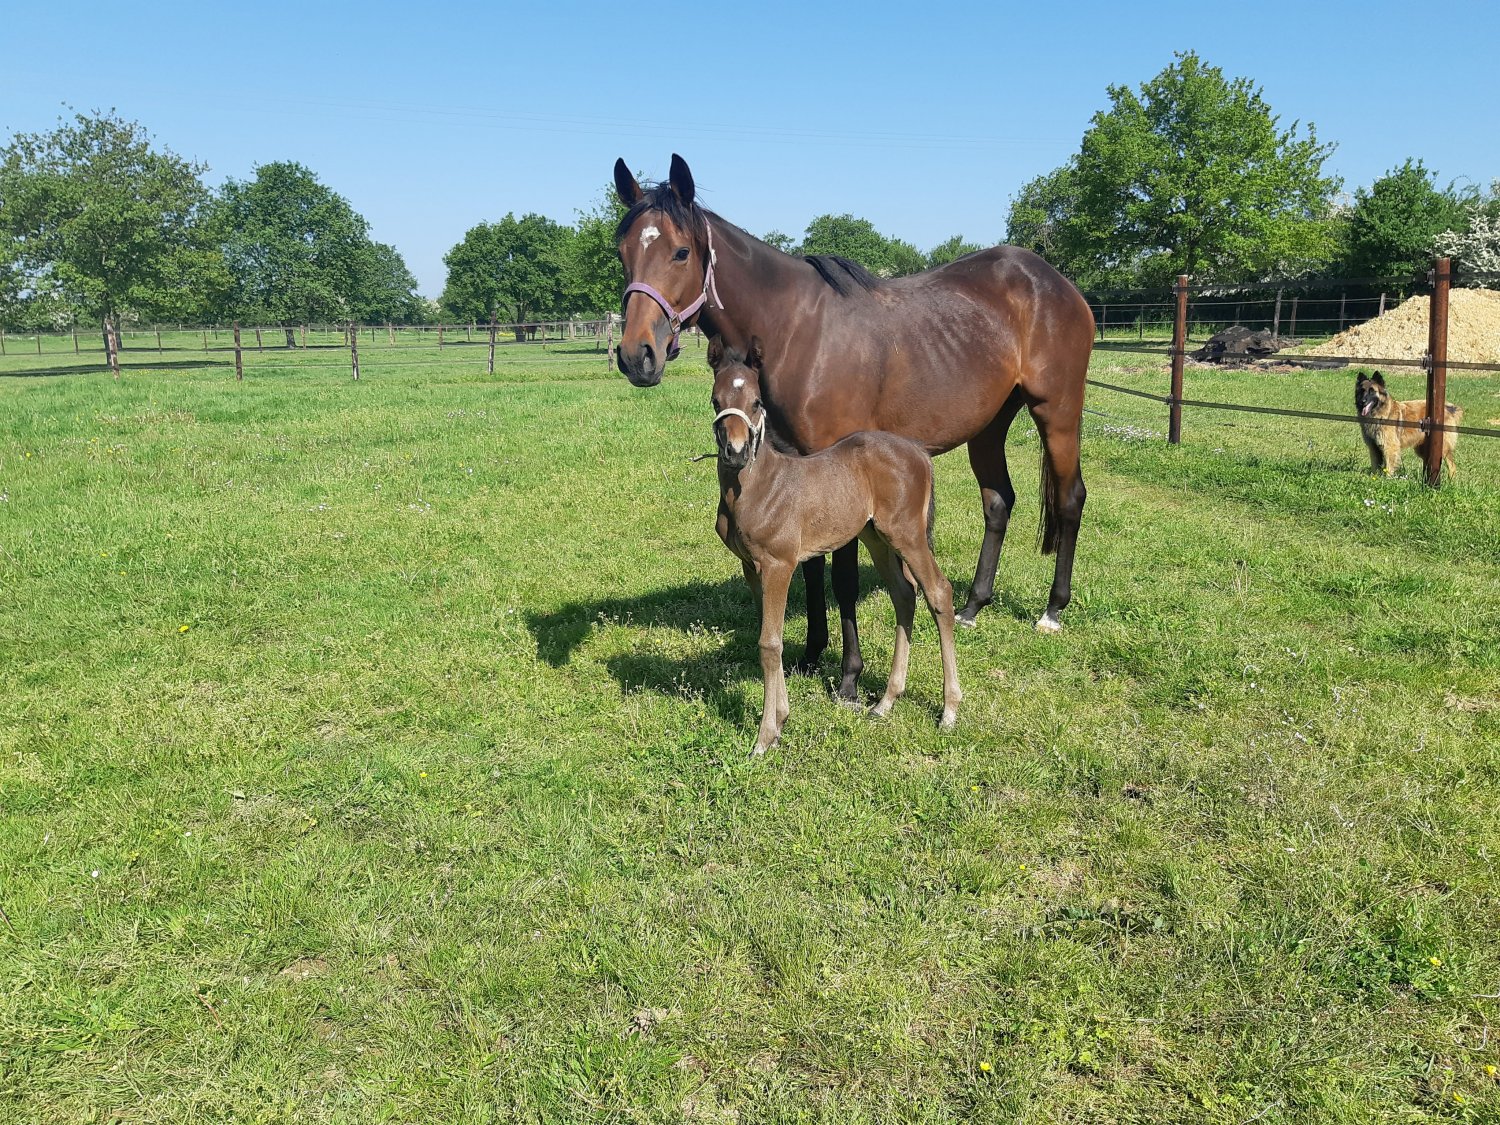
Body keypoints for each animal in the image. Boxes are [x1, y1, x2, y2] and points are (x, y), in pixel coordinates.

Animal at [614, 154, 1093, 702]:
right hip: (990, 425)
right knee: (998, 502)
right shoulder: (799, 464)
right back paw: (973, 606)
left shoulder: (834, 458)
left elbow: (841, 576)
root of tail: (1056, 282)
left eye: (680, 251)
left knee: (1071, 497)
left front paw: (848, 675)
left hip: (1057, 411)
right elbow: (811, 568)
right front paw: (810, 653)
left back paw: (1053, 610)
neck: (795, 329)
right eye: (623, 252)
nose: (636, 355)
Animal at [709, 336, 960, 754]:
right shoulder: (751, 567)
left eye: (757, 402)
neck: (757, 486)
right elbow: (769, 638)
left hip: (906, 534)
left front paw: (764, 737)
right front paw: (781, 720)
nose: (736, 451)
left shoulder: (779, 564)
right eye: (716, 400)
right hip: (876, 536)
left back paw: (950, 710)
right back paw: (885, 702)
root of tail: (920, 453)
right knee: (904, 594)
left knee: (938, 591)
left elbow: (769, 643)